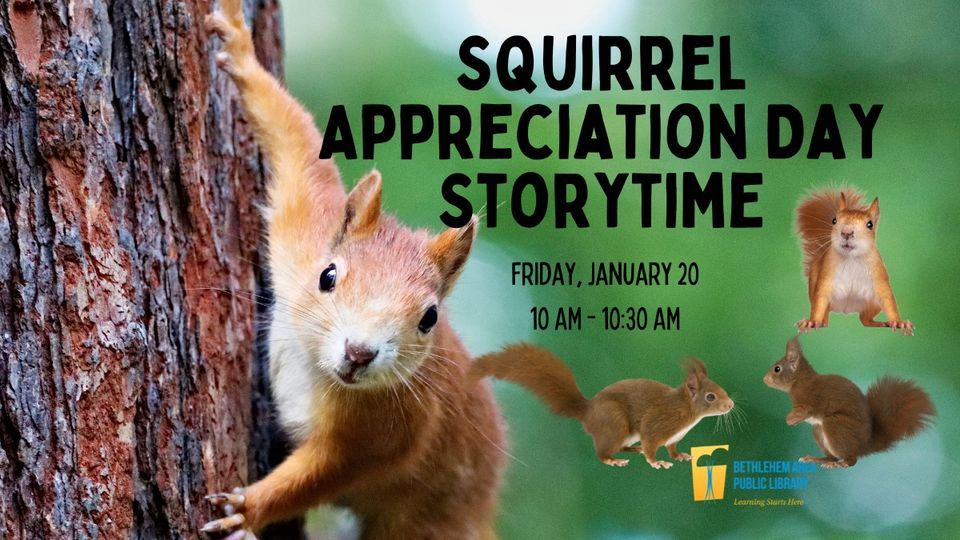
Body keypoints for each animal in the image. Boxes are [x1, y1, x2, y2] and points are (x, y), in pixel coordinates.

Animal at [202, 2, 505, 537]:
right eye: (327, 276)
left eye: (429, 318)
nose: (359, 352)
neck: (319, 371)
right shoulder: (302, 233)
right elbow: (300, 148)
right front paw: (241, 51)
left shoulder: (388, 430)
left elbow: (322, 473)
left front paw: (248, 507)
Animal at [468, 343, 734, 469]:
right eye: (711, 397)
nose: (730, 404)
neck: (687, 412)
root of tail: (587, 411)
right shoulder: (657, 423)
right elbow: (651, 444)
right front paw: (656, 462)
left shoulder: (673, 437)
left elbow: (672, 448)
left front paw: (680, 456)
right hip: (615, 423)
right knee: (602, 452)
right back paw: (614, 460)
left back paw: (631, 450)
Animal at [764, 337, 935, 468]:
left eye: (777, 369)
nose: (764, 379)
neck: (799, 381)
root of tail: (864, 445)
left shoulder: (810, 400)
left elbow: (804, 410)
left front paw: (790, 419)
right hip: (819, 430)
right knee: (833, 456)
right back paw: (817, 459)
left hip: (835, 426)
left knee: (852, 459)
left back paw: (840, 464)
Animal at [795, 187, 913, 335]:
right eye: (834, 220)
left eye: (870, 224)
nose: (846, 232)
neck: (851, 258)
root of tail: (846, 309)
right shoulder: (826, 276)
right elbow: (820, 298)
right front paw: (812, 321)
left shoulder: (879, 275)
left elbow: (888, 299)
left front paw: (898, 322)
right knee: (826, 315)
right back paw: (821, 323)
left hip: (872, 303)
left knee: (865, 319)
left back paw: (879, 323)